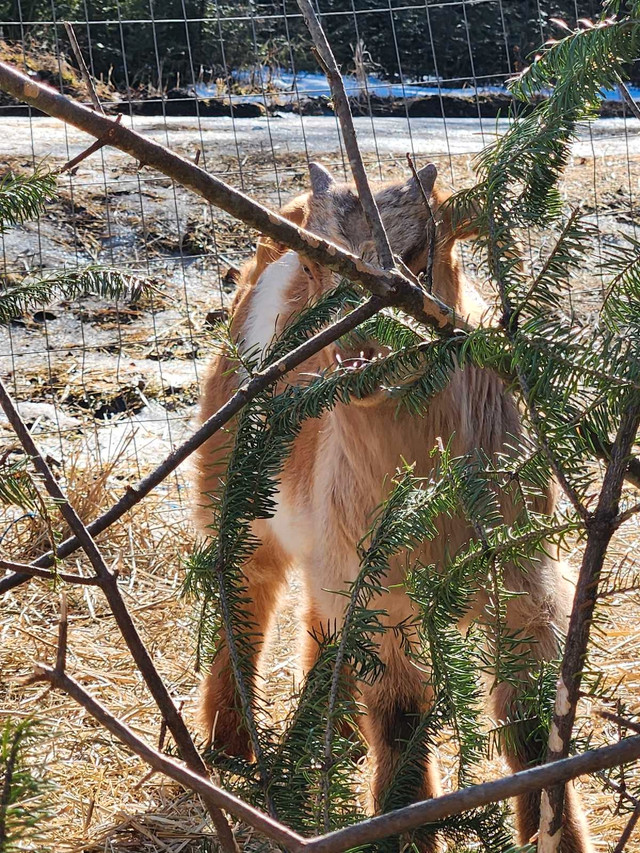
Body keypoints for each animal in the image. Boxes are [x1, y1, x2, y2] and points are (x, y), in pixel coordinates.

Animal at [194, 163, 596, 848]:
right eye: (318, 260)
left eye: (419, 255)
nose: (357, 348)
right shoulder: (385, 598)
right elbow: (401, 722)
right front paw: (402, 827)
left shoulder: (523, 576)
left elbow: (528, 723)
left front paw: (554, 834)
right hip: (233, 485)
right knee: (244, 593)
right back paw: (231, 744)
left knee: (318, 620)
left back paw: (331, 734)